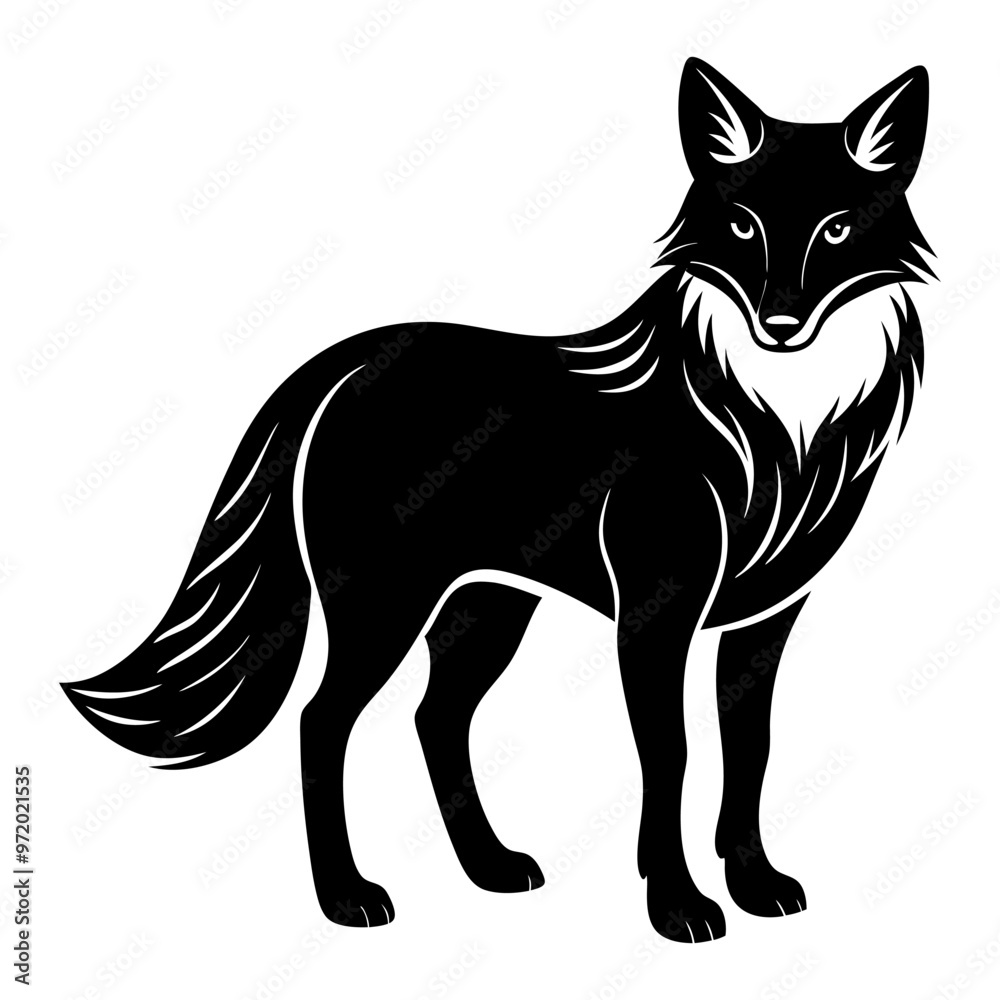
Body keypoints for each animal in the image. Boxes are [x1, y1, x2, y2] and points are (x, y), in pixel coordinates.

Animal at [64, 58, 934, 943]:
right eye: (742, 226)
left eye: (837, 229)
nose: (781, 323)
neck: (778, 424)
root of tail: (343, 362)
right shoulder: (657, 610)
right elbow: (673, 753)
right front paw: (678, 904)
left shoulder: (769, 615)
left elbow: (749, 748)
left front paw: (755, 884)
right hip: (386, 603)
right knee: (322, 721)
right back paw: (348, 898)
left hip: (488, 605)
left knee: (435, 718)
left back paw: (490, 868)